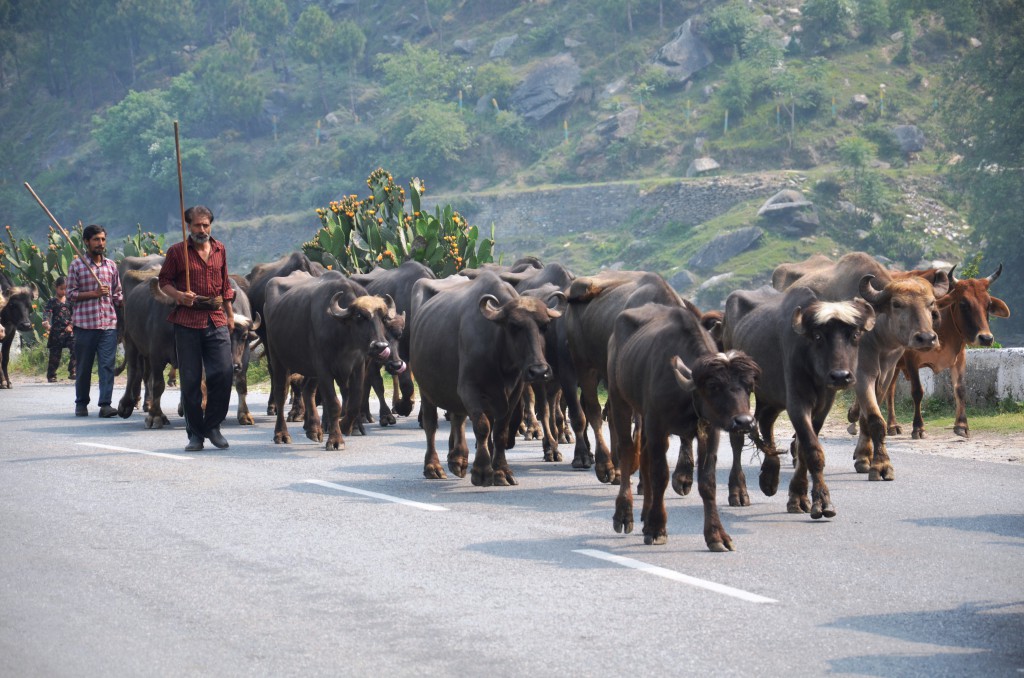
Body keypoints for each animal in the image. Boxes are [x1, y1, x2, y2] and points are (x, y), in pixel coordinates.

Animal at [264, 270, 395, 450]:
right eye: (359, 316)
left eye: (383, 318)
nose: (380, 346)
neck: (344, 339)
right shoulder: (324, 368)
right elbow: (334, 404)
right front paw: (335, 440)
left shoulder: (358, 367)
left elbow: (354, 401)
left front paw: (347, 426)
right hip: (277, 359)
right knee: (280, 394)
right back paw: (281, 434)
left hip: (310, 369)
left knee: (307, 390)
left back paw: (313, 430)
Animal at [409, 268, 569, 485]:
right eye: (513, 326)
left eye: (544, 326)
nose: (538, 371)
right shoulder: (469, 389)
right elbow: (482, 426)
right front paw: (483, 471)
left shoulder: (513, 393)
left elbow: (500, 431)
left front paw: (501, 471)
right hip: (426, 388)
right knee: (431, 424)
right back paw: (433, 467)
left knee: (458, 417)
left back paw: (458, 459)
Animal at [606, 305, 761, 548]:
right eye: (714, 386)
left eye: (748, 385)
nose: (744, 421)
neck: (687, 399)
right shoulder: (657, 425)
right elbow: (660, 475)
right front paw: (657, 529)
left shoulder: (710, 431)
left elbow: (707, 482)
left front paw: (716, 534)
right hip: (619, 399)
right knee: (628, 452)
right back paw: (625, 515)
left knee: (645, 457)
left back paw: (646, 515)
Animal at [724, 288, 876, 520]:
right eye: (818, 336)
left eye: (855, 335)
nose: (840, 376)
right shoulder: (797, 404)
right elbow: (812, 450)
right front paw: (822, 502)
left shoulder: (823, 407)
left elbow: (802, 448)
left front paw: (798, 497)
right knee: (737, 440)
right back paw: (738, 492)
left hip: (771, 397)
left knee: (766, 422)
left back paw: (769, 478)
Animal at [884, 260, 1011, 440]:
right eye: (963, 304)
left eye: (988, 304)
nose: (986, 338)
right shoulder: (911, 358)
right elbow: (917, 391)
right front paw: (918, 428)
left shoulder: (959, 356)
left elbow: (960, 389)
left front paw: (962, 426)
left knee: (890, 389)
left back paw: (892, 425)